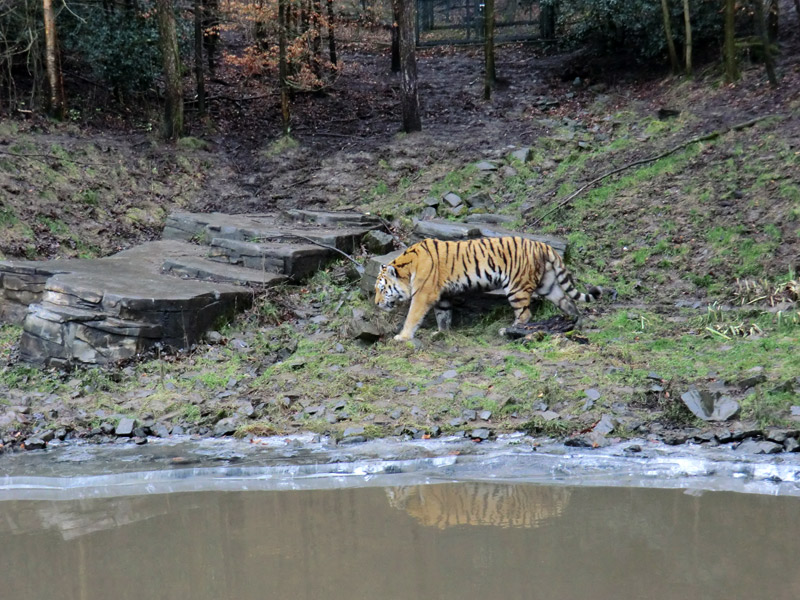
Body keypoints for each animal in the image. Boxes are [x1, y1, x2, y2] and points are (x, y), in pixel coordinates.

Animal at [376, 236, 608, 340]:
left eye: (381, 289)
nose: (376, 303)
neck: (407, 268)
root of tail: (543, 245)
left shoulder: (424, 294)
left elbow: (413, 316)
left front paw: (402, 337)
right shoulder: (441, 295)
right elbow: (443, 315)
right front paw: (441, 333)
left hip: (516, 287)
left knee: (525, 314)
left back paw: (509, 331)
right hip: (548, 285)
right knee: (567, 301)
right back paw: (577, 323)